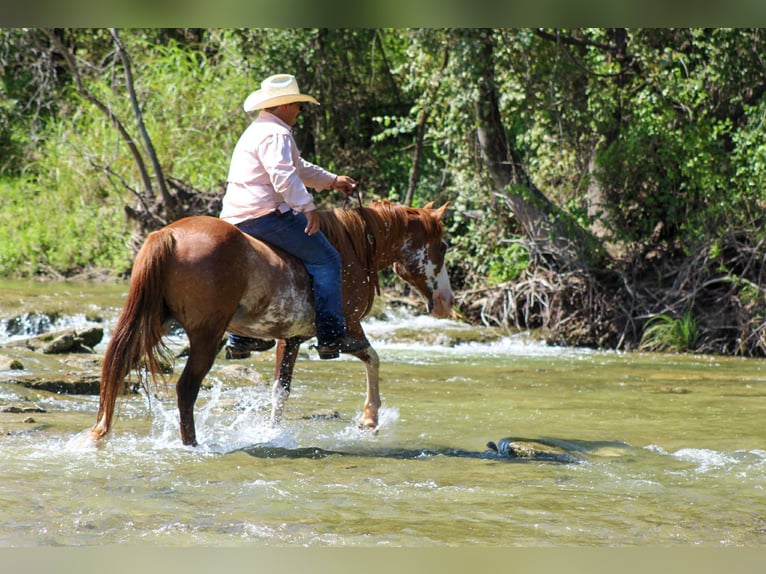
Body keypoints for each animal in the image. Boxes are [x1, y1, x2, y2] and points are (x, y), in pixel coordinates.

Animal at [91, 200, 454, 446]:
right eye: (443, 246)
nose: (446, 304)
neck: (353, 248)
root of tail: (169, 234)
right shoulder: (347, 328)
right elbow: (373, 359)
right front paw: (370, 417)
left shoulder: (290, 338)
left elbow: (281, 390)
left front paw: (273, 432)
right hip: (206, 336)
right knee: (186, 388)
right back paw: (191, 444)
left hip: (152, 323)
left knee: (117, 366)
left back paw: (98, 433)